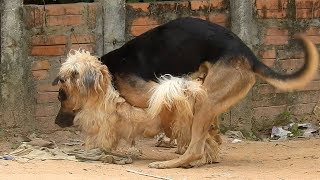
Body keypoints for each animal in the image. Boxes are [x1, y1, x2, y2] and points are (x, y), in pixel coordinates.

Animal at [54, 17, 318, 168]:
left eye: (61, 95)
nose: (56, 122)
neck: (108, 69)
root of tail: (250, 56)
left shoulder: (153, 93)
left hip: (207, 100)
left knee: (195, 146)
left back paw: (175, 162)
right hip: (212, 93)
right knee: (204, 131)